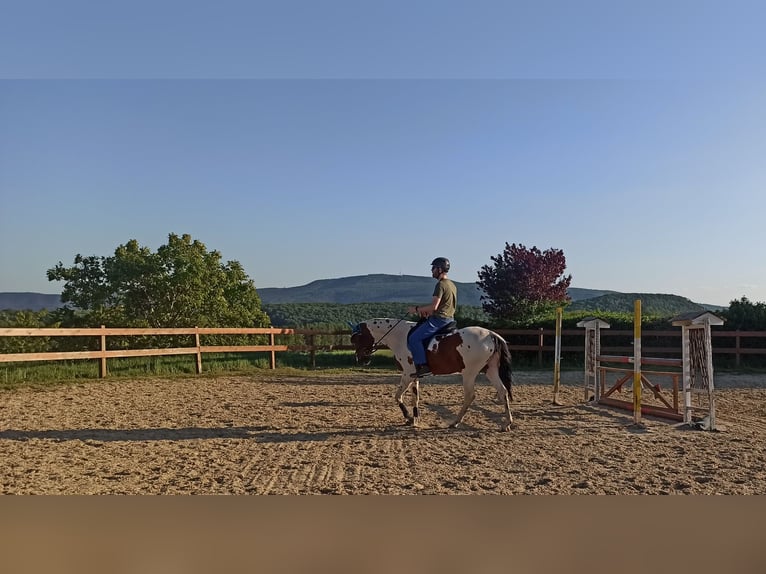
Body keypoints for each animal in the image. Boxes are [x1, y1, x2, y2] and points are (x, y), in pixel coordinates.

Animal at [352, 320, 516, 432]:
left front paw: (408, 417)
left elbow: (398, 396)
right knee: (503, 391)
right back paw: (506, 423)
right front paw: (415, 419)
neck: (400, 336)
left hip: (469, 372)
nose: (360, 359)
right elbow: (415, 397)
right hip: (490, 370)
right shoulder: (414, 376)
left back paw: (455, 422)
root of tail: (491, 335)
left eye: (357, 339)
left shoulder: (407, 374)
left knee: (470, 396)